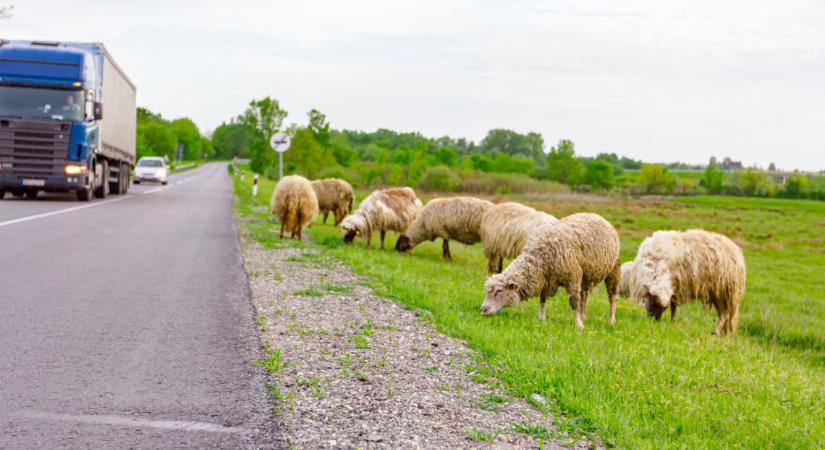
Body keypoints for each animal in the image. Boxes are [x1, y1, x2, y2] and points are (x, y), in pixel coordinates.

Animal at [480, 213, 620, 328]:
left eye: (499, 291)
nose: (483, 310)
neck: (540, 257)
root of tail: (597, 216)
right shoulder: (545, 280)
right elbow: (542, 299)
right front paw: (542, 319)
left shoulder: (572, 276)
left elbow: (574, 302)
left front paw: (578, 325)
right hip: (585, 274)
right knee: (584, 296)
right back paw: (583, 316)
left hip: (613, 270)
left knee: (612, 296)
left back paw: (611, 321)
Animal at [616, 230, 748, 336]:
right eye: (653, 303)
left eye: (660, 307)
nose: (654, 321)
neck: (656, 266)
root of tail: (737, 251)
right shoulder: (674, 287)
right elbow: (673, 306)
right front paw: (672, 322)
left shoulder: (676, 285)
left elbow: (673, 306)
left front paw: (672, 321)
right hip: (717, 292)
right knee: (723, 313)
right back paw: (719, 332)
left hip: (725, 291)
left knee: (725, 314)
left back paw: (715, 332)